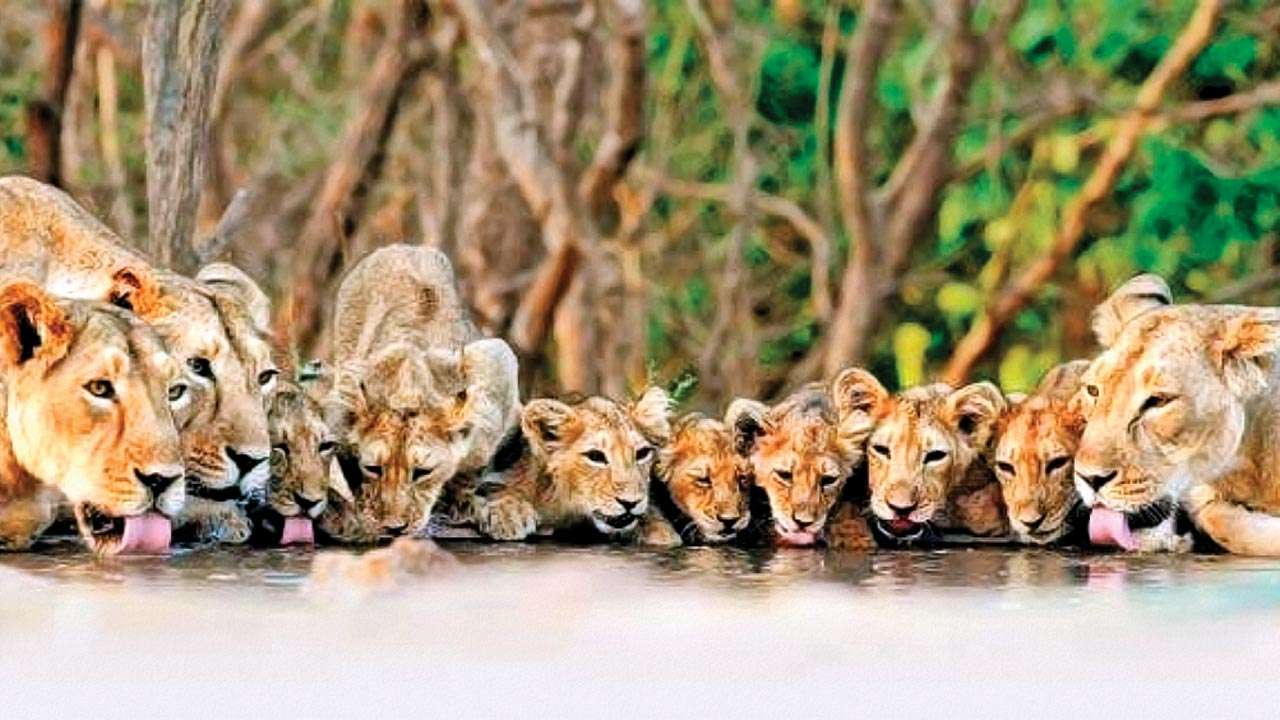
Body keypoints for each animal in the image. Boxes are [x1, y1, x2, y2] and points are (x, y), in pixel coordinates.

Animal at [322, 244, 520, 542]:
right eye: (374, 468)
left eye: (423, 472)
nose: (394, 528)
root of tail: (405, 247)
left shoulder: (497, 362)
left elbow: (472, 469)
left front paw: (467, 504)